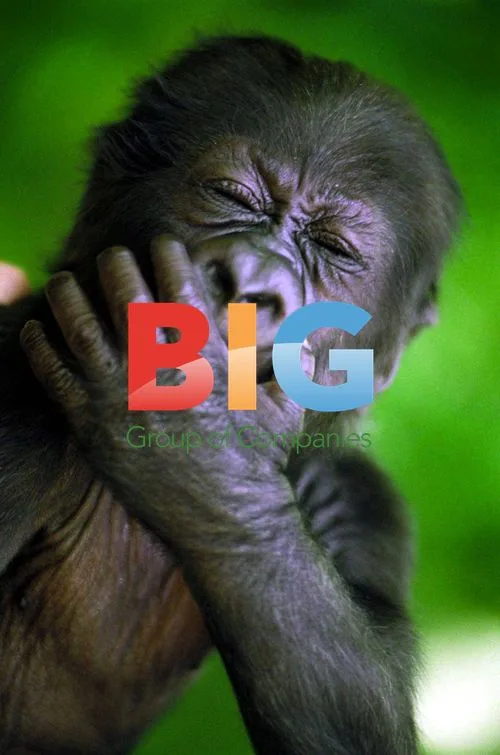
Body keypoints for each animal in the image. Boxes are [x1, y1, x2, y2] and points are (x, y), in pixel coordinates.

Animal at [0, 35, 461, 755]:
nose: (253, 279)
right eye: (232, 195)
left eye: (333, 247)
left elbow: (365, 710)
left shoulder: (363, 498)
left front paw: (207, 451)